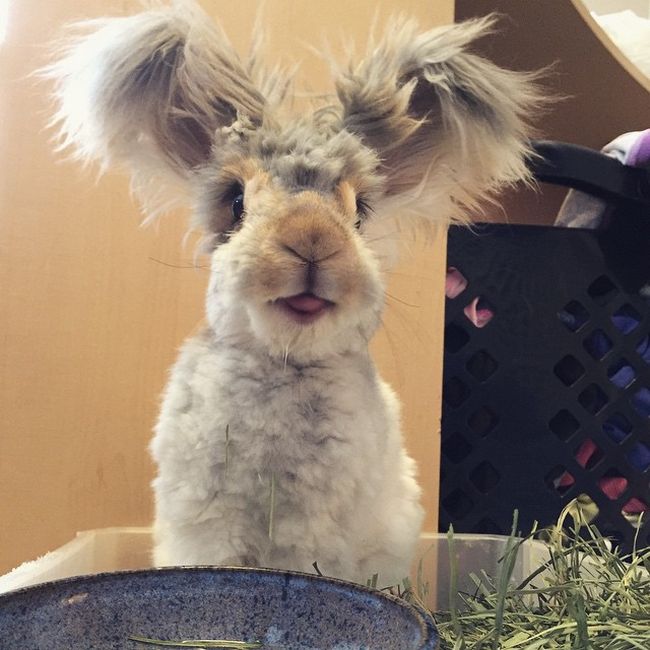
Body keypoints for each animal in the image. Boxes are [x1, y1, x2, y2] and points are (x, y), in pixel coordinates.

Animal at [45, 0, 540, 584]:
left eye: (360, 211)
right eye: (236, 202)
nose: (311, 242)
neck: (284, 361)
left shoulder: (311, 535)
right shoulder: (207, 524)